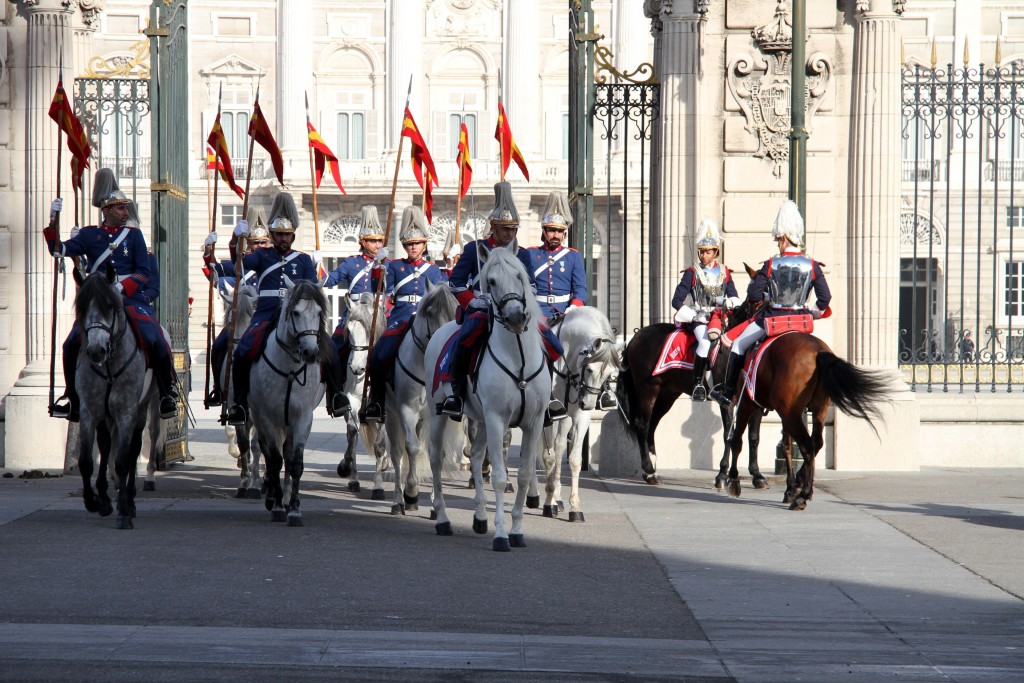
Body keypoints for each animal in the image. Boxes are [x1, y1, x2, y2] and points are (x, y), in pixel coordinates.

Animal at [247, 280, 327, 528]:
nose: (311, 352)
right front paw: (278, 507)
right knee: (267, 451)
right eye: (296, 312)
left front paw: (294, 509)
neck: (290, 369)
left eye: (319, 312)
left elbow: (295, 462)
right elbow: (274, 460)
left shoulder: (302, 418)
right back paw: (273, 496)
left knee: (288, 454)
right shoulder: (266, 418)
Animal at [333, 292, 389, 497]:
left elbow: (380, 445)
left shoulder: (383, 408)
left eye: (369, 331)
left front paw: (378, 486)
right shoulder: (353, 401)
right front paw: (348, 470)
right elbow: (352, 436)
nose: (357, 368)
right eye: (349, 330)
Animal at [385, 282, 460, 511]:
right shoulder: (406, 409)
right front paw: (411, 491)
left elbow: (435, 452)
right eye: (430, 312)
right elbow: (412, 448)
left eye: (455, 312)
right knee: (398, 452)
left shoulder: (436, 414)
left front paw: (436, 501)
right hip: (391, 414)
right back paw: (399, 499)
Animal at [423, 242, 552, 552]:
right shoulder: (496, 419)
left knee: (477, 454)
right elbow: (500, 477)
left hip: (480, 419)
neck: (518, 357)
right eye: (490, 281)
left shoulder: (533, 422)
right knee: (436, 459)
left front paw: (517, 531)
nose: (517, 316)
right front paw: (502, 535)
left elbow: (525, 474)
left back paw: (480, 517)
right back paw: (442, 519)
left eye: (519, 276)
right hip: (439, 415)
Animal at [540, 309, 618, 524]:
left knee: (559, 447)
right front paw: (548, 503)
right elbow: (549, 456)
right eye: (590, 369)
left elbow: (573, 459)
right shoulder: (545, 416)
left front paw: (574, 507)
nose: (589, 403)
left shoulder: (579, 416)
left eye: (609, 373)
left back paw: (557, 498)